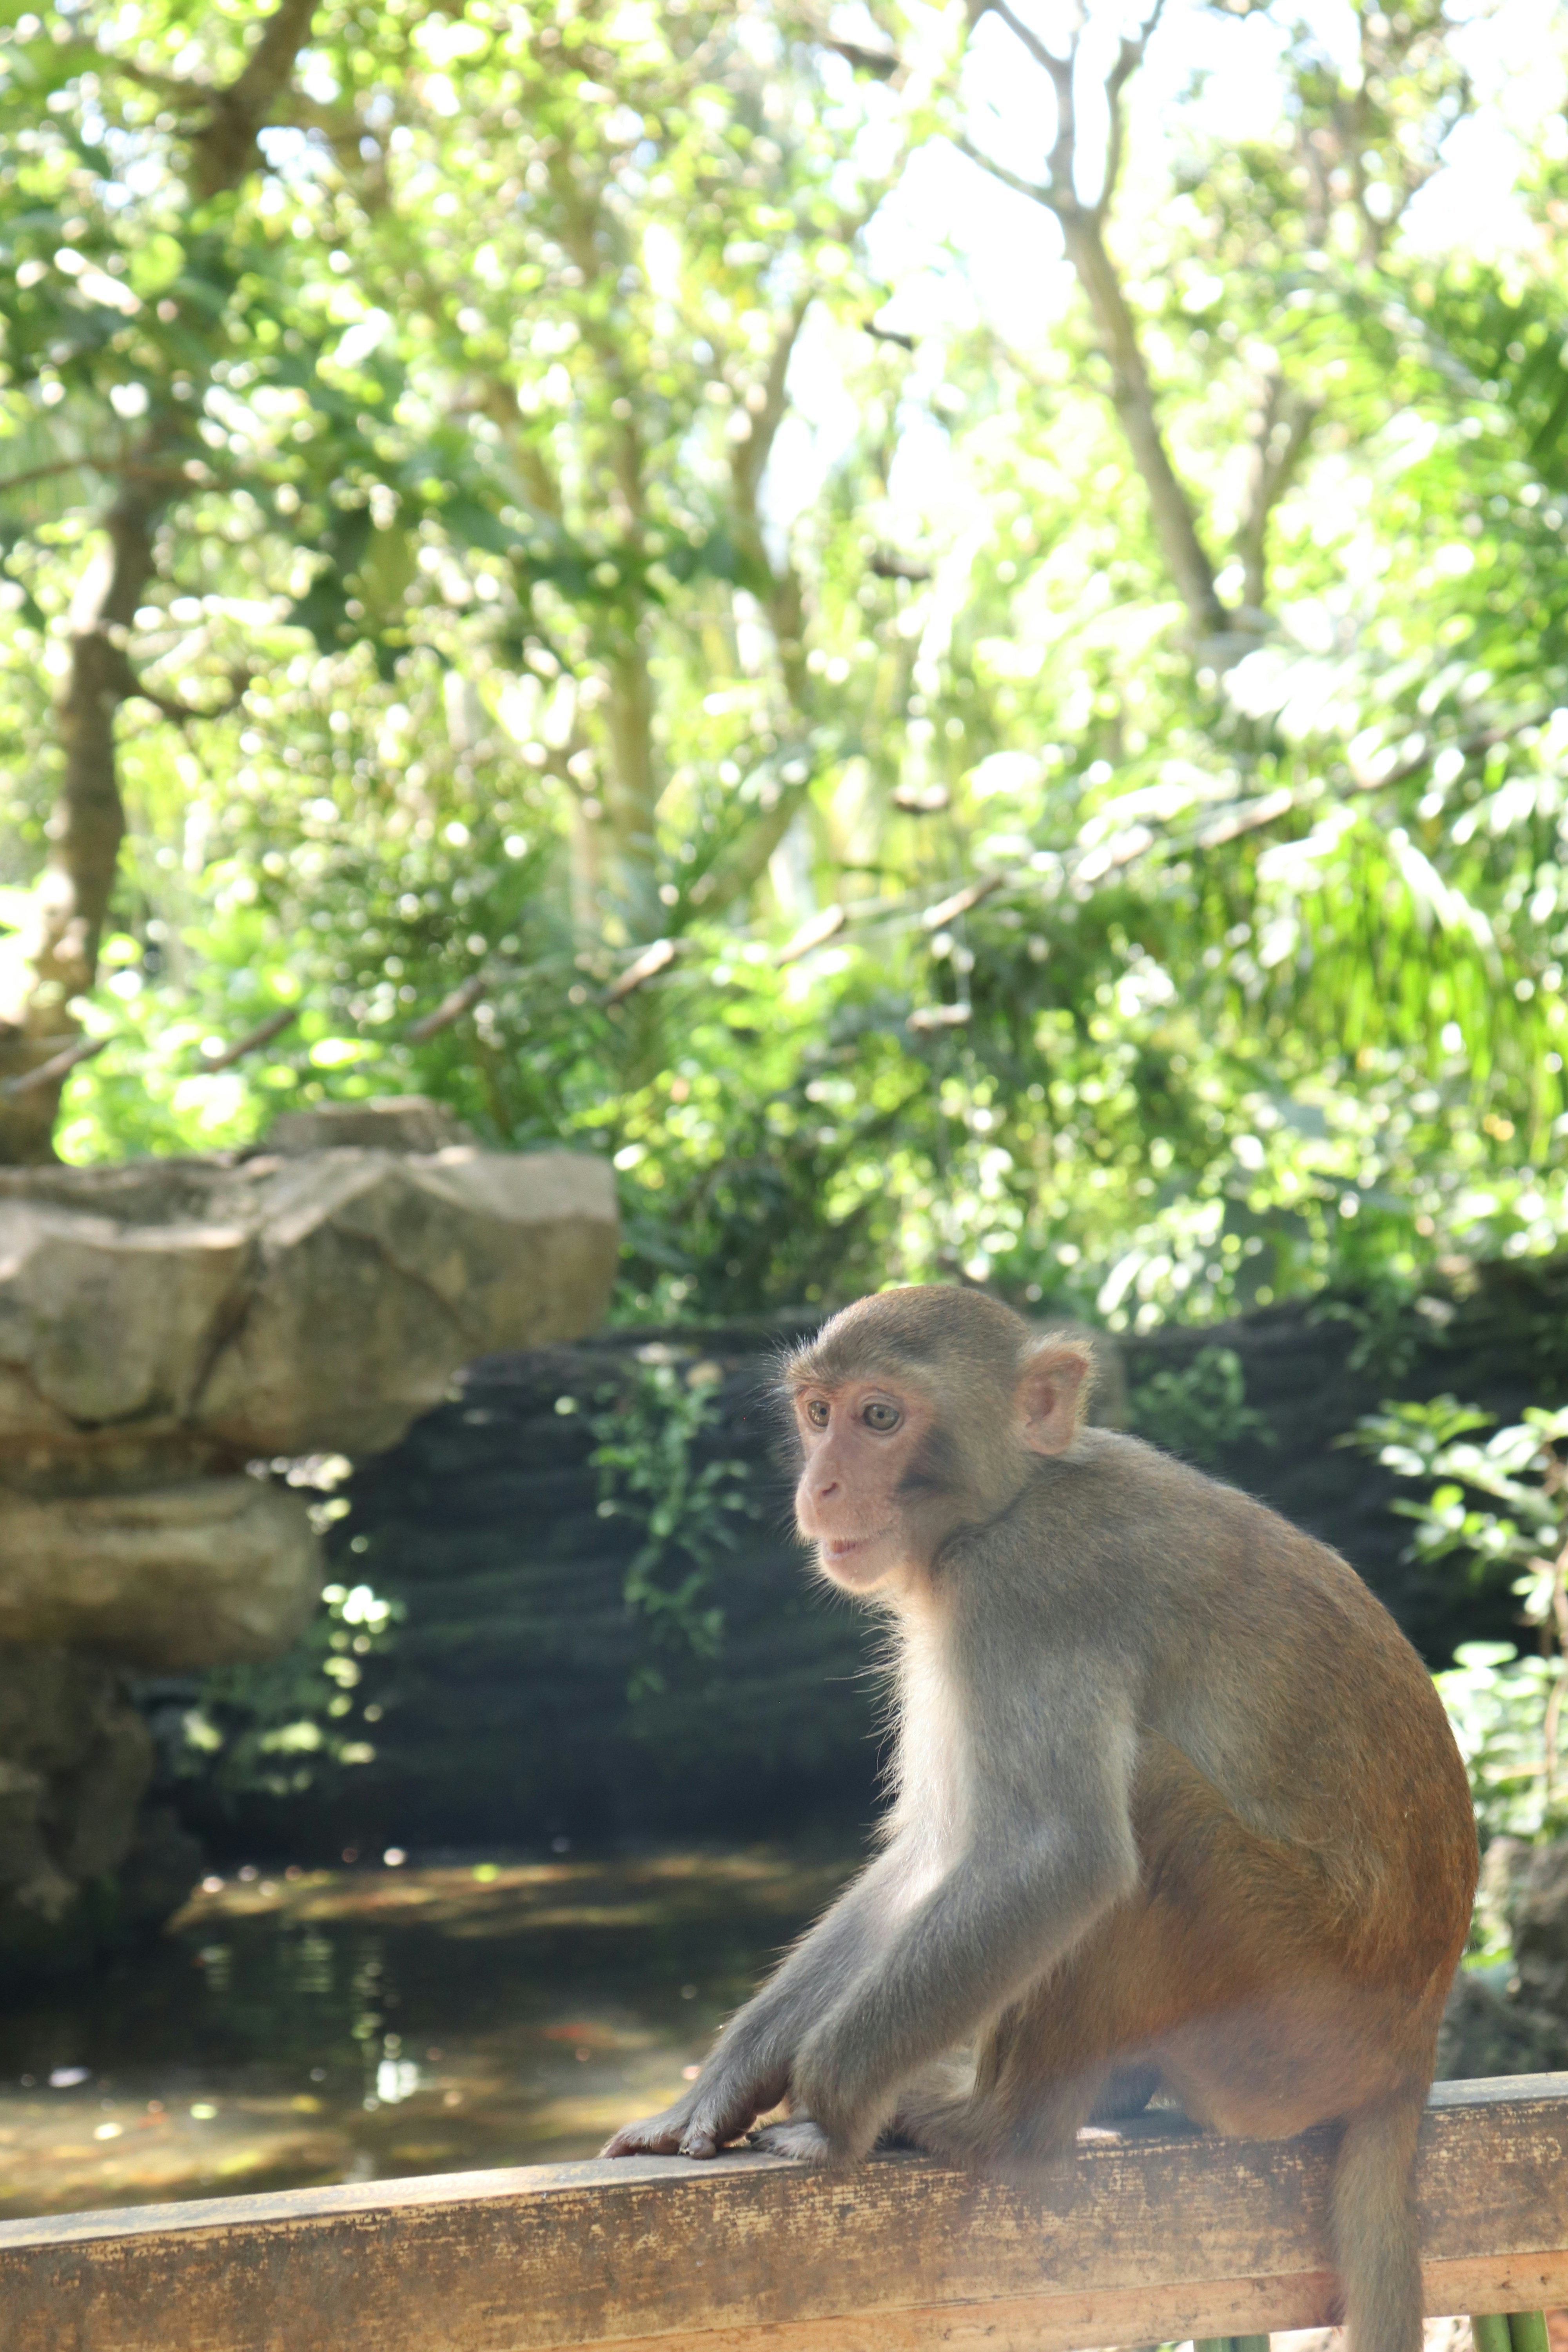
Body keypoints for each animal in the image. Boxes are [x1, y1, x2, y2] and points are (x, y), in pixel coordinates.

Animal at [604, 1285, 1478, 2352]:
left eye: (880, 1417)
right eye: (816, 1414)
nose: (820, 1487)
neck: (1009, 1500)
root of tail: (1408, 2060)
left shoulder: (1023, 1593)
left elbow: (1054, 1858)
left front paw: (831, 2106)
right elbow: (933, 1855)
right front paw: (725, 2082)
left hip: (1293, 2017)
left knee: (1147, 1812)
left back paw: (999, 2131)